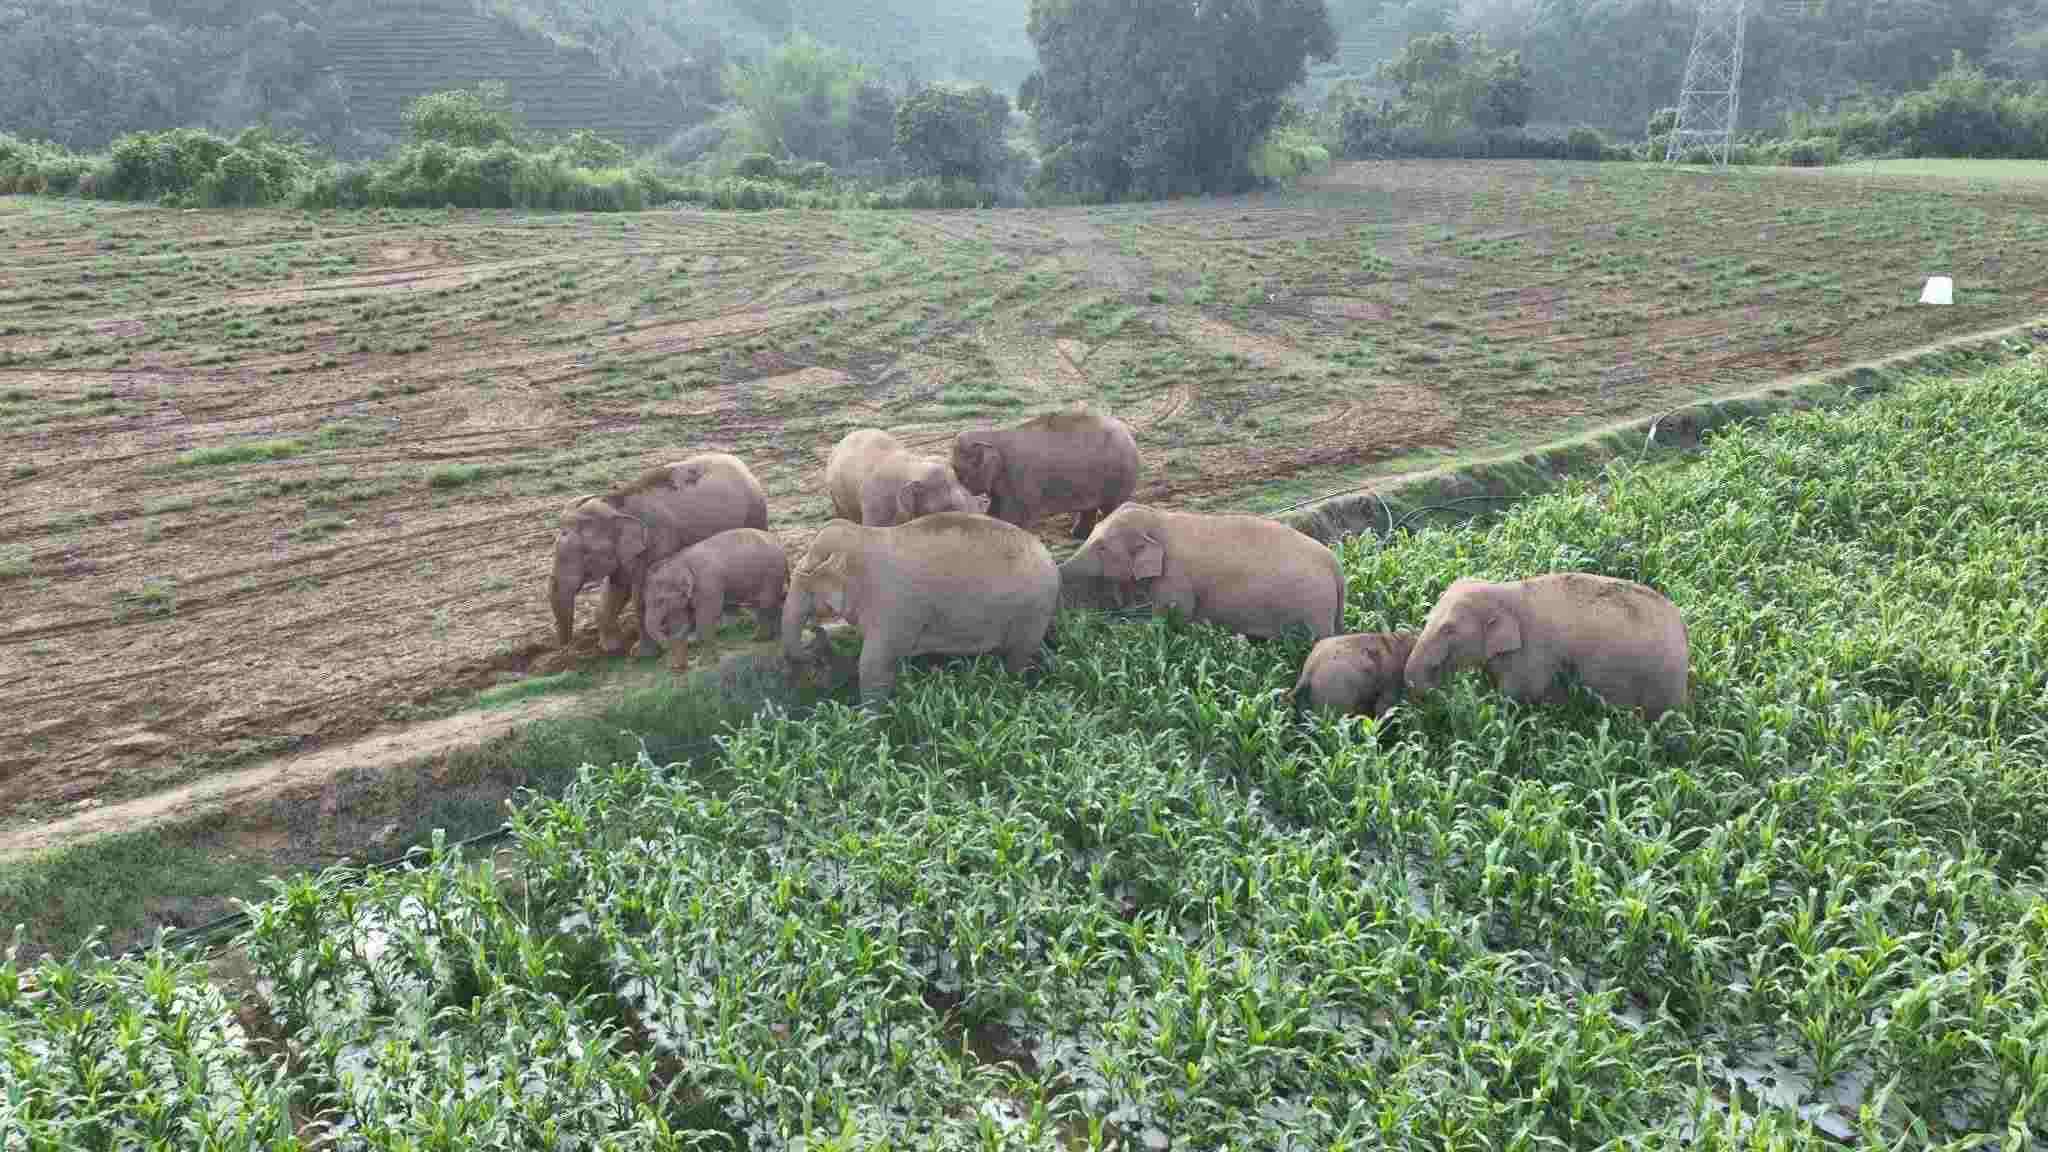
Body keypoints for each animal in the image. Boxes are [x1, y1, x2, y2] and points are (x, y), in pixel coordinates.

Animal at [548, 453, 769, 654]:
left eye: (586, 553)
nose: (566, 649)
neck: (615, 504)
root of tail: (742, 465)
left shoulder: (657, 542)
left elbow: (641, 594)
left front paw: (641, 654)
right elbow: (616, 590)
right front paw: (611, 649)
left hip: (755, 512)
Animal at [638, 527, 790, 671]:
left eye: (661, 600)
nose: (672, 667)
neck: (680, 560)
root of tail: (779, 542)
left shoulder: (708, 585)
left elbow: (706, 616)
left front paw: (706, 663)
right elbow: (680, 619)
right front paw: (678, 667)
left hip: (772, 573)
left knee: (766, 603)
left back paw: (764, 639)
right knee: (766, 603)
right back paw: (765, 637)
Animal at [781, 512, 1060, 705]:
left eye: (804, 580)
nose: (816, 631)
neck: (861, 537)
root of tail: (1052, 560)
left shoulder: (892, 608)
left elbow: (873, 664)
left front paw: (868, 723)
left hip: (1032, 610)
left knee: (1017, 655)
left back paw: (1013, 686)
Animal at [952, 407, 1140, 539]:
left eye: (958, 471)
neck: (994, 435)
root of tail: (1128, 434)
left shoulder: (1021, 479)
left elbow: (1015, 516)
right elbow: (996, 510)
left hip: (1120, 476)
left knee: (1112, 508)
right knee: (1090, 508)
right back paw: (1078, 536)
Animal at [1057, 504, 1346, 641]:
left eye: (1101, 547)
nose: (1057, 567)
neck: (1158, 518)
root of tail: (1334, 564)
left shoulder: (1175, 577)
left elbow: (1174, 615)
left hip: (1313, 606)